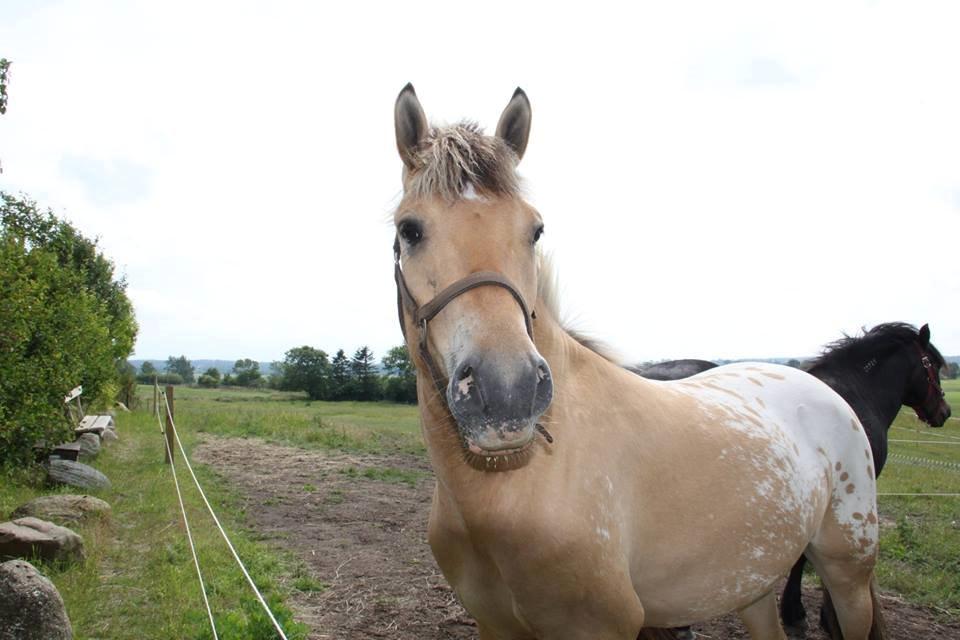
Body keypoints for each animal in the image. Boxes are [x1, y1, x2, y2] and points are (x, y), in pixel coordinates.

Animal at [388, 85, 884, 640]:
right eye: (410, 230)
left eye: (535, 230)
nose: (507, 390)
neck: (519, 485)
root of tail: (820, 389)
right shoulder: (496, 626)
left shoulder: (602, 627)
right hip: (752, 584)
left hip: (847, 575)